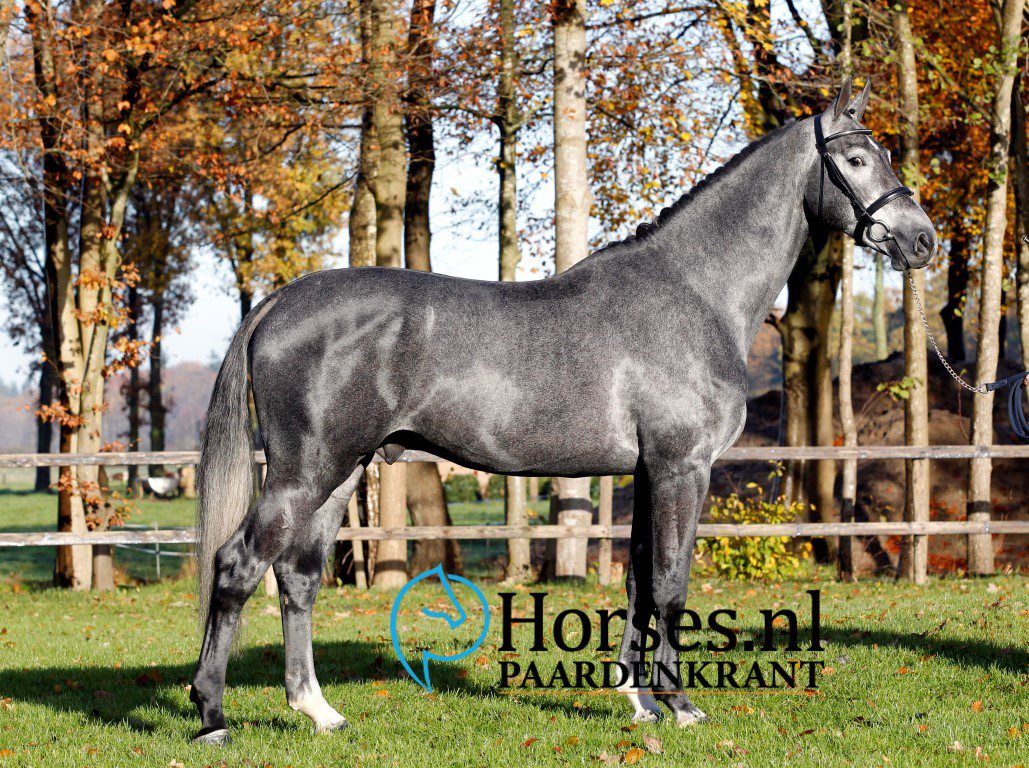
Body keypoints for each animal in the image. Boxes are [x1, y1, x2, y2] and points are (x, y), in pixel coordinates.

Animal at [189, 77, 936, 744]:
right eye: (856, 158)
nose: (922, 240)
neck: (694, 292)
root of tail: (280, 302)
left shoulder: (646, 473)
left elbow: (639, 581)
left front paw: (638, 701)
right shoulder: (681, 467)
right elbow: (670, 582)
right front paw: (682, 706)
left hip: (340, 473)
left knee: (297, 576)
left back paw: (317, 711)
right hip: (304, 472)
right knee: (237, 566)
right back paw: (212, 716)